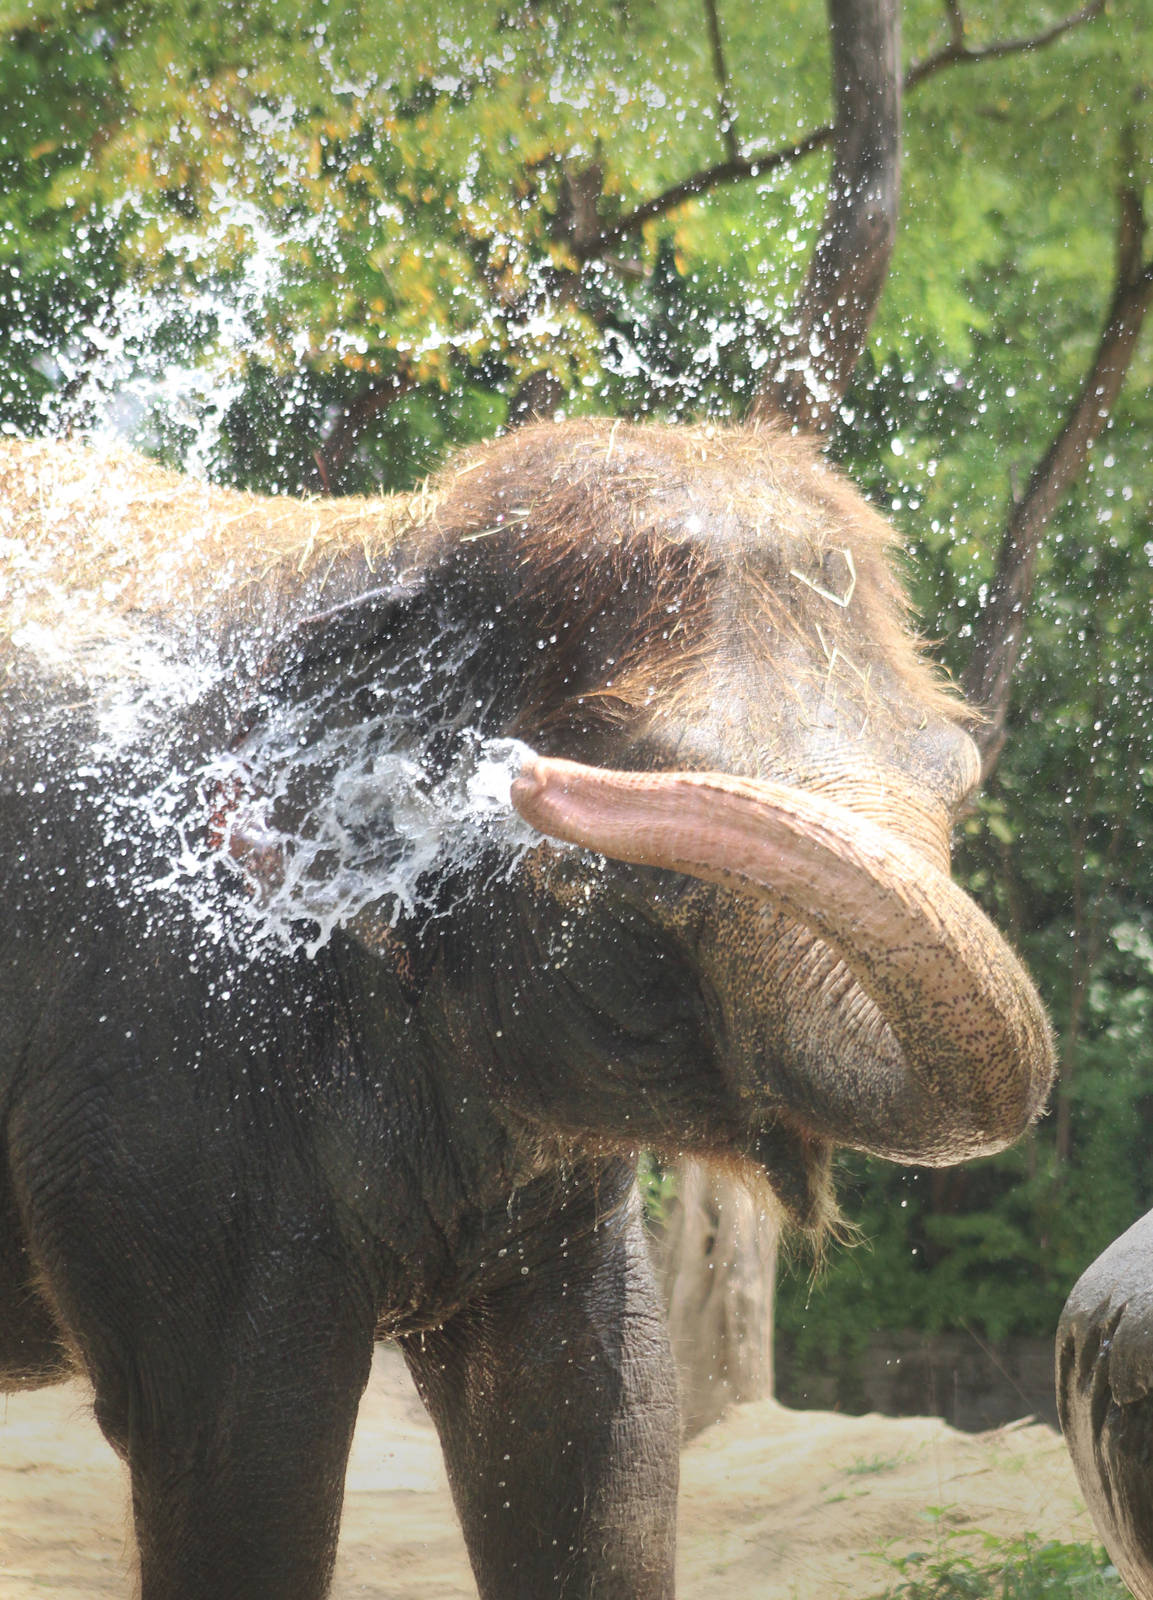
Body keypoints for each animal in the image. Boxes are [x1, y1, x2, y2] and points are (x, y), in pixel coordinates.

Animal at [0, 419, 1053, 1600]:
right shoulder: (164, 1062)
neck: (385, 542)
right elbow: (237, 1452)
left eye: (957, 776)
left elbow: (597, 1417)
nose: (530, 780)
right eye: (635, 757)